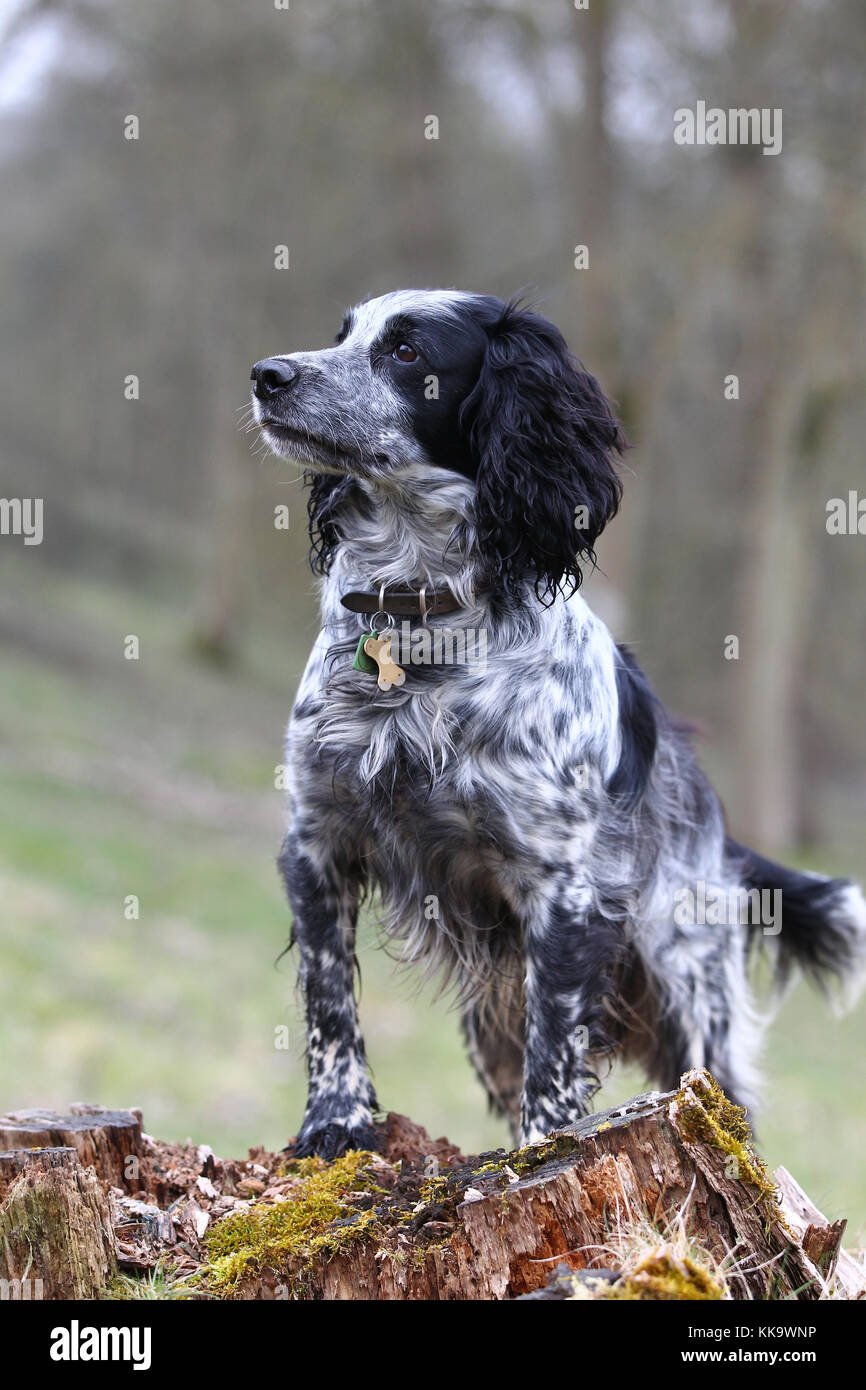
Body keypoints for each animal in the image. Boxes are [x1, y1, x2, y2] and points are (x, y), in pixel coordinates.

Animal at [248, 287, 866, 1156]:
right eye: (342, 335)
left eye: (406, 351)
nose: (268, 375)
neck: (421, 617)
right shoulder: (318, 840)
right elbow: (330, 999)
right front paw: (335, 1121)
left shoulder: (564, 891)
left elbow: (557, 1050)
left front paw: (544, 1151)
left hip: (690, 994)